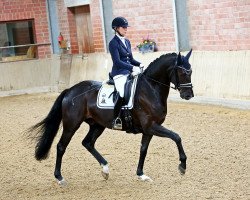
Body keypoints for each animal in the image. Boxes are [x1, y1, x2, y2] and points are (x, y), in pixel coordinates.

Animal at [28, 49, 193, 184]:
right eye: (183, 73)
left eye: (190, 72)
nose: (188, 95)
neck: (150, 88)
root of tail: (70, 90)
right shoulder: (151, 126)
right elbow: (176, 137)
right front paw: (182, 166)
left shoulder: (149, 129)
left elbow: (143, 150)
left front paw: (141, 174)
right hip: (72, 124)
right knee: (61, 146)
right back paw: (59, 177)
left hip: (97, 124)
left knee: (88, 143)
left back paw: (105, 169)